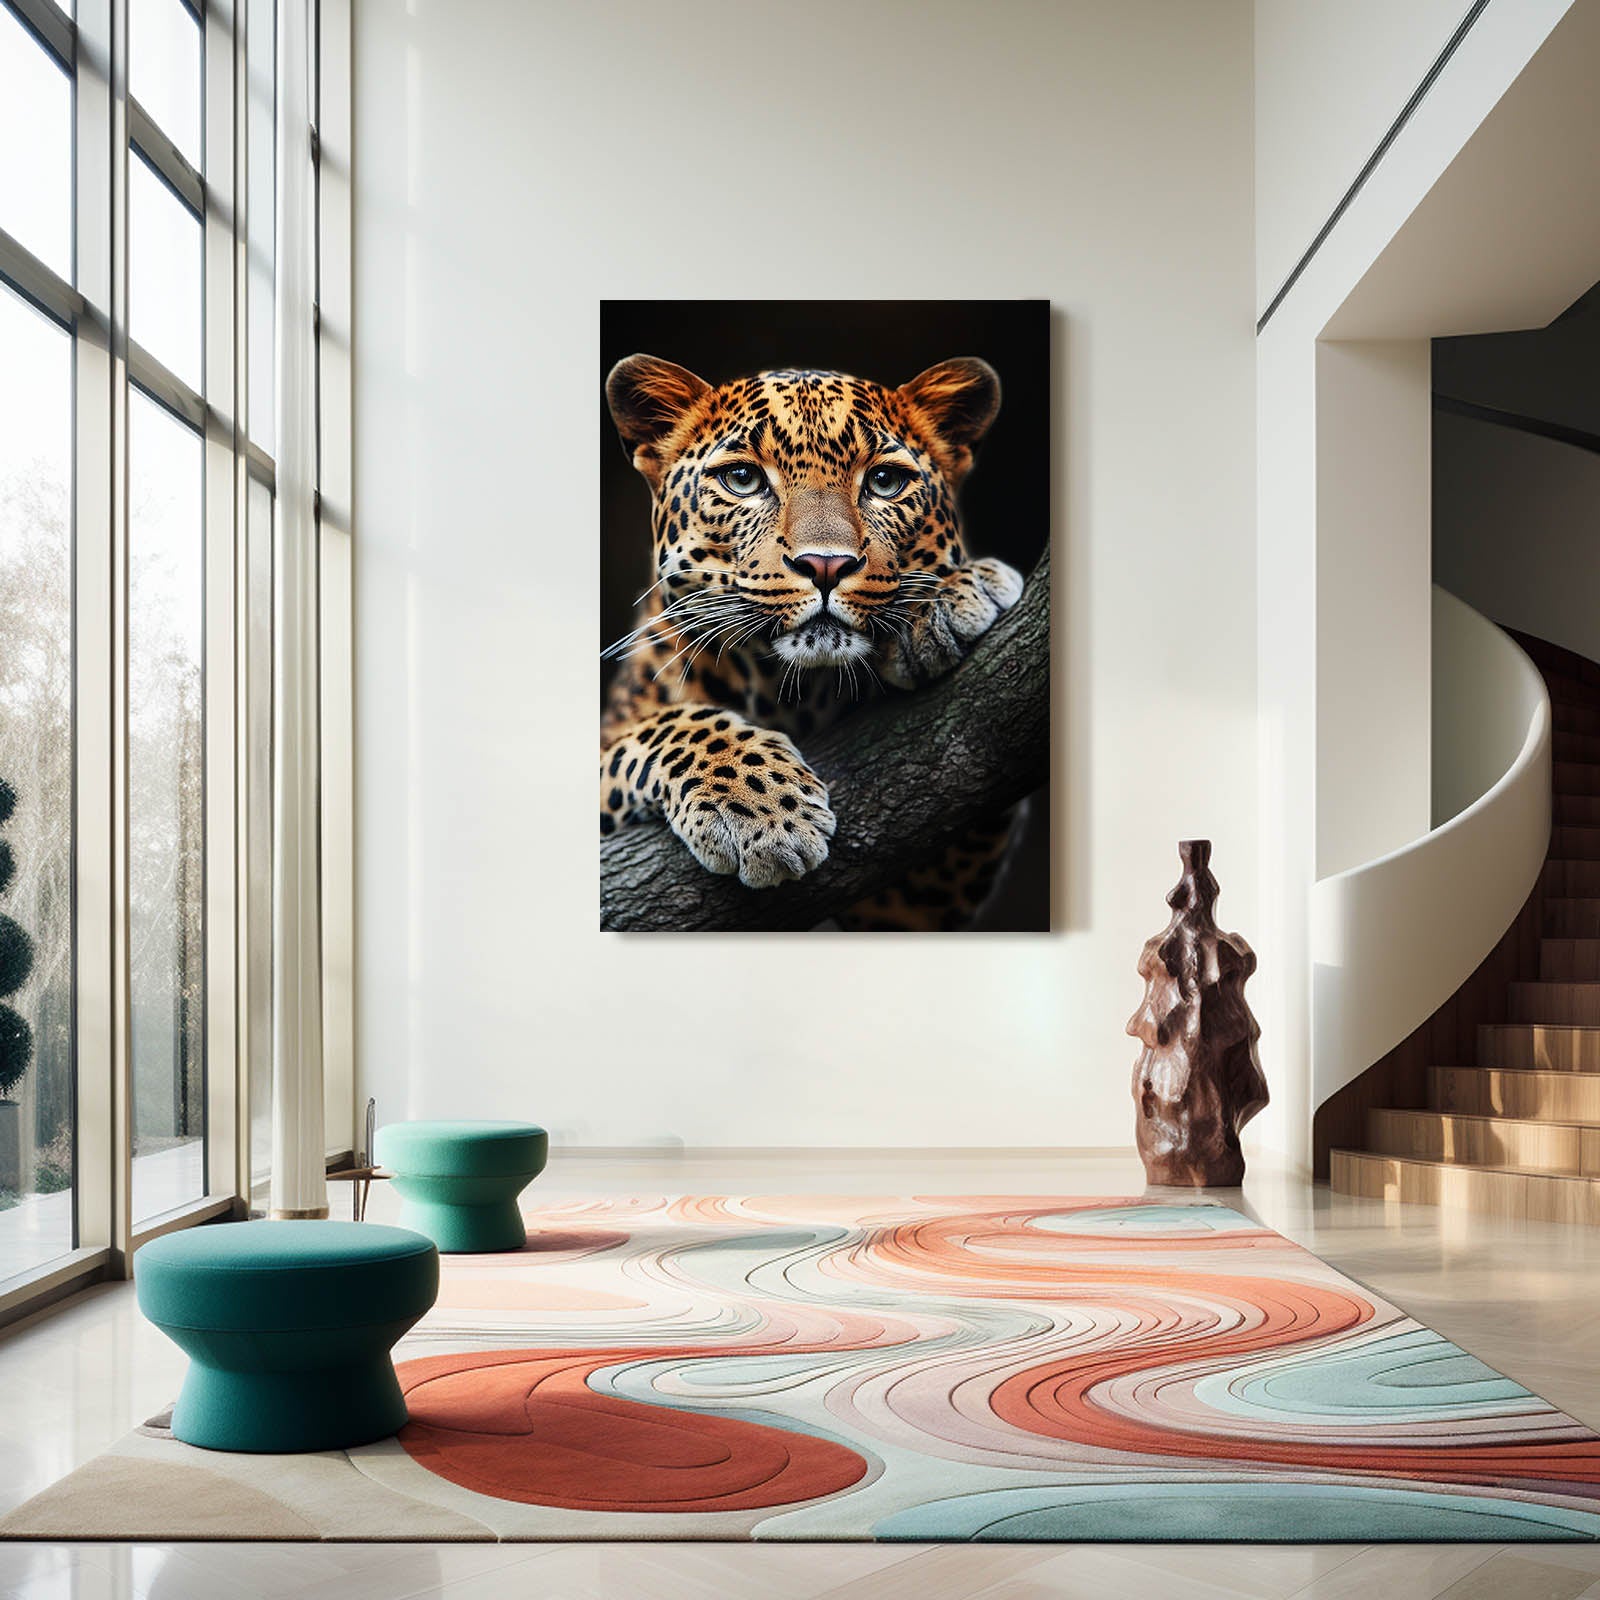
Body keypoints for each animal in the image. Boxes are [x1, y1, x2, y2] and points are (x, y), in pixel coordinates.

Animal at [599, 352, 1025, 923]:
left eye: (885, 481)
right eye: (742, 478)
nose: (826, 565)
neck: (791, 692)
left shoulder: (909, 905)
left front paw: (951, 594)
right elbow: (668, 727)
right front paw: (761, 814)